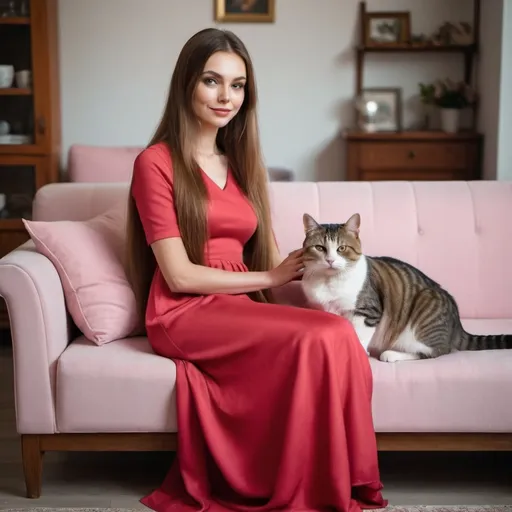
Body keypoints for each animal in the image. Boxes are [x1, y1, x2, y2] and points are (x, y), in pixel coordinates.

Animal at [300, 210, 512, 362]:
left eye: (341, 248)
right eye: (320, 248)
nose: (330, 260)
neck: (329, 282)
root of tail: (457, 324)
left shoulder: (368, 312)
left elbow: (359, 335)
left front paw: (359, 354)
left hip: (421, 315)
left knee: (434, 351)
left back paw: (391, 354)